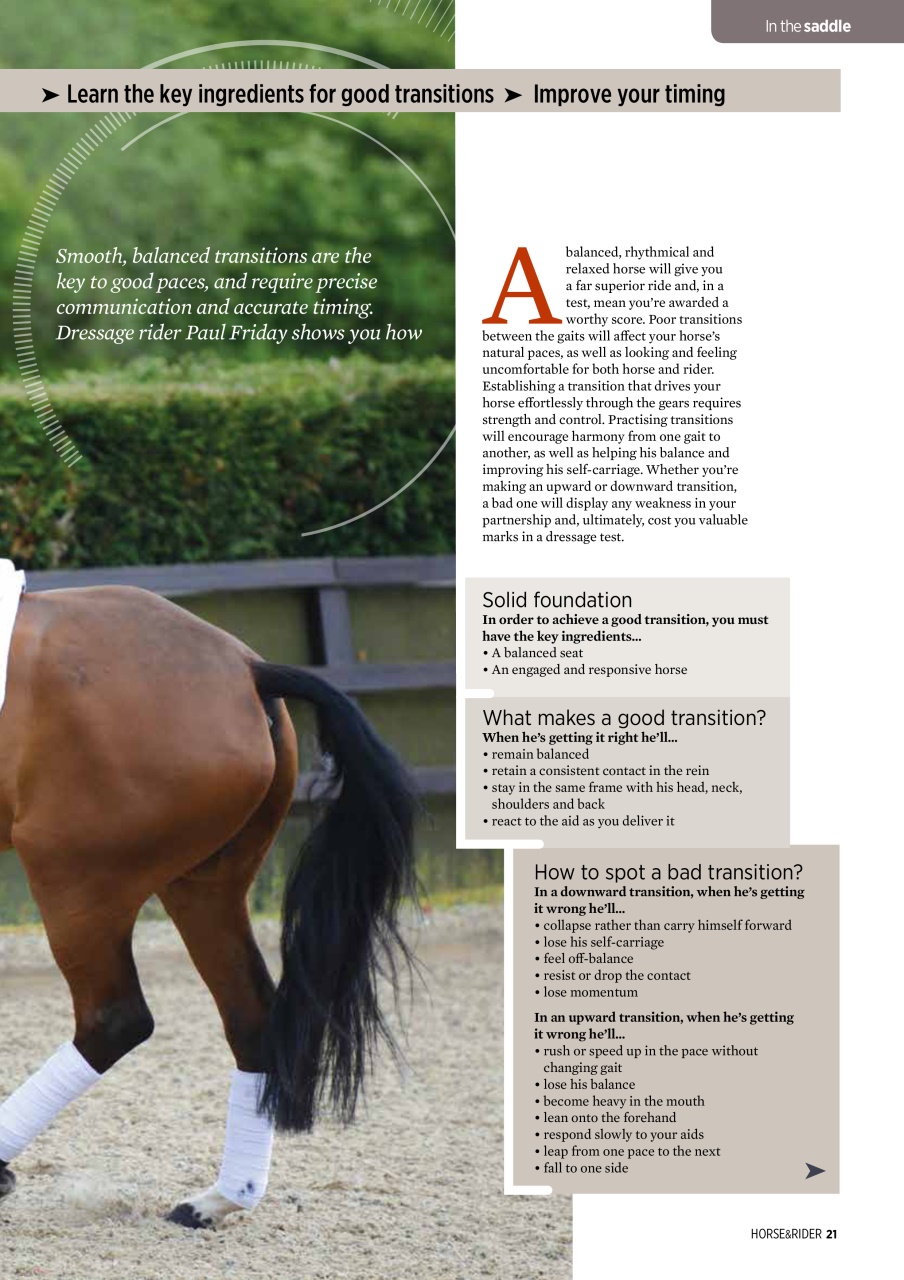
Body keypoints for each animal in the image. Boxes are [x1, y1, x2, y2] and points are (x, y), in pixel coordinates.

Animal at [0, 583, 416, 1228]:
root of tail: (245, 669)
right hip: (203, 886)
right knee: (249, 1017)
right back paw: (218, 1199)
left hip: (75, 879)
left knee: (114, 1018)